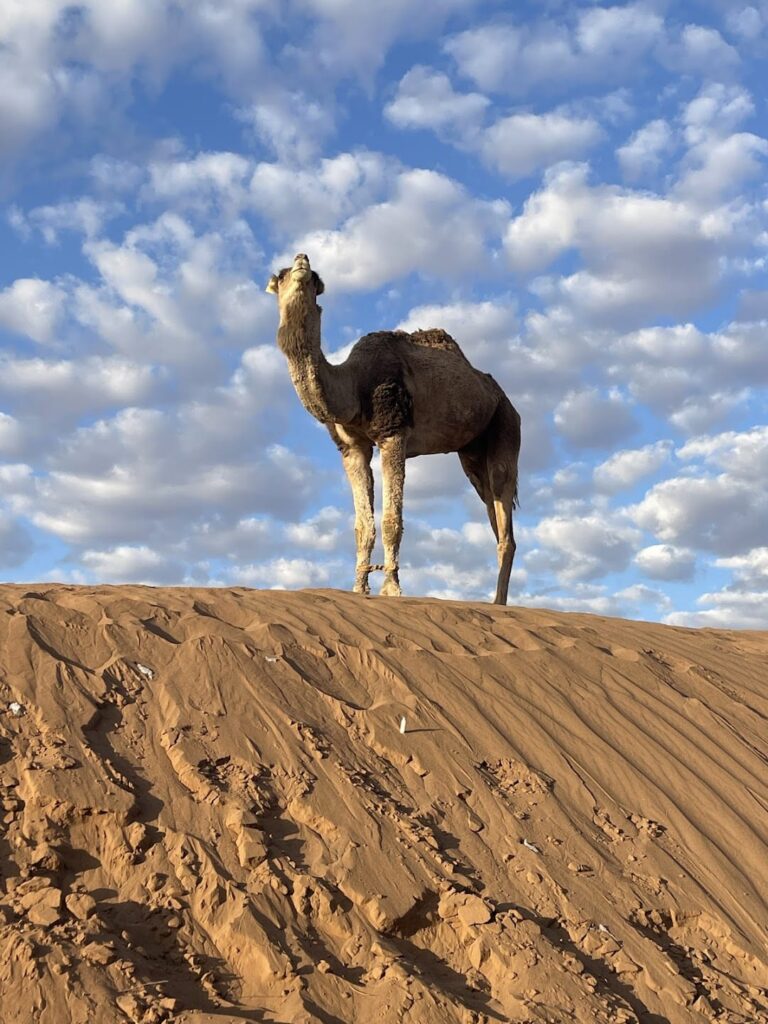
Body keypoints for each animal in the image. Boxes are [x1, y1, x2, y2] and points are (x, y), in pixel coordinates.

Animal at [266, 254, 521, 604]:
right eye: (282, 275)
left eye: (315, 277)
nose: (302, 259)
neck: (352, 384)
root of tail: (504, 398)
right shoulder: (352, 447)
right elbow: (362, 524)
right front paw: (359, 587)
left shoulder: (393, 433)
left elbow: (391, 520)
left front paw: (391, 588)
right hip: (471, 452)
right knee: (492, 507)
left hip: (505, 425)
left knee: (502, 499)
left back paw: (498, 603)